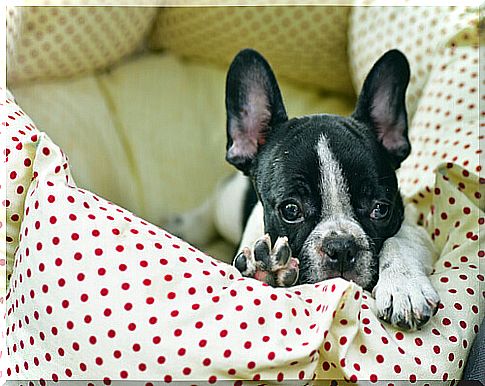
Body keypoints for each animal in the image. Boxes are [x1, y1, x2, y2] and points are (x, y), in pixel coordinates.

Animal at [167, 48, 438, 330]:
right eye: (291, 210)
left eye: (381, 209)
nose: (341, 247)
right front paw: (266, 268)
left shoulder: (416, 228)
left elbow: (399, 240)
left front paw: (403, 285)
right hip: (228, 208)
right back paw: (187, 225)